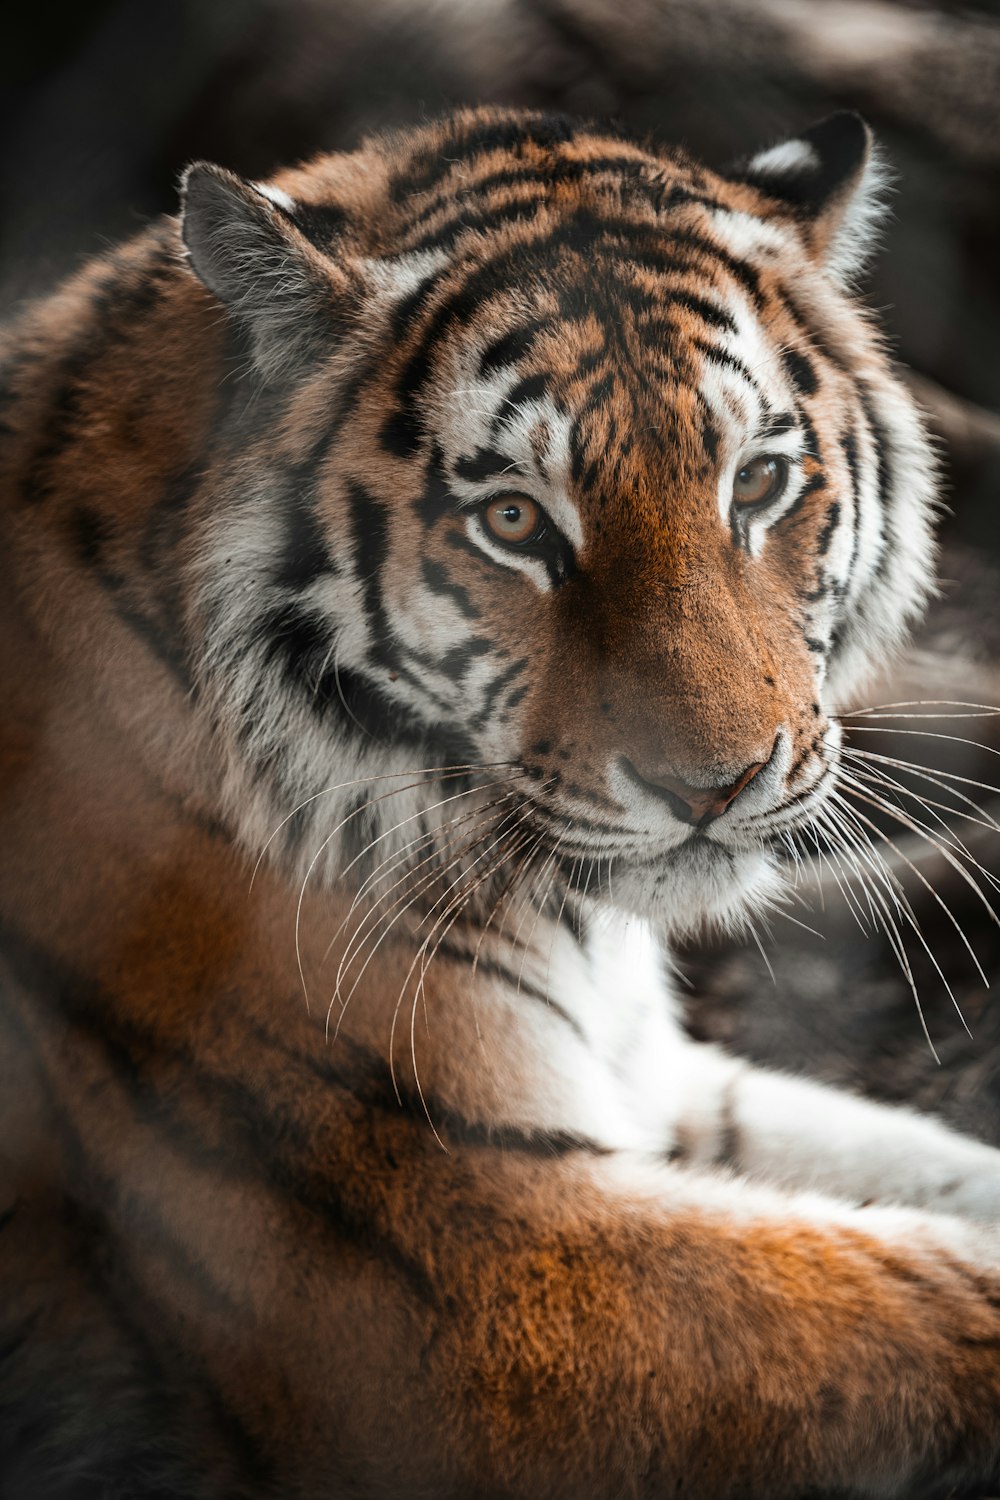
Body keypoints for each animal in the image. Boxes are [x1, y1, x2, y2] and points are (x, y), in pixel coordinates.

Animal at [1, 105, 1000, 1500]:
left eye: (754, 485)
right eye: (516, 521)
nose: (718, 784)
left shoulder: (657, 1085)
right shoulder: (468, 1258)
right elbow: (937, 1295)